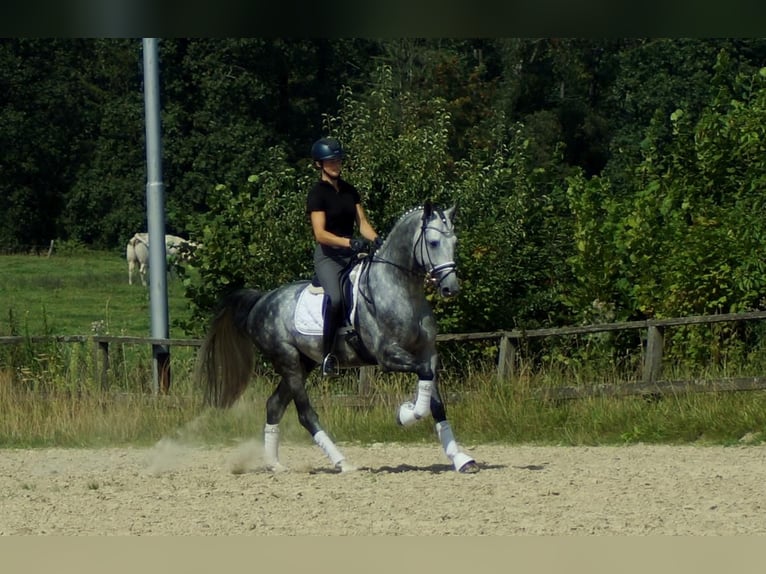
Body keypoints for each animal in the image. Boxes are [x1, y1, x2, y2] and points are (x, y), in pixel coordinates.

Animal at [196, 205, 480, 474]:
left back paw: (275, 465)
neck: (401, 289)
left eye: (454, 241)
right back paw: (342, 463)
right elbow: (423, 387)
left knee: (274, 406)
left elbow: (436, 401)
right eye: (433, 242)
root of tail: (262, 300)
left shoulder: (427, 353)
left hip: (303, 363)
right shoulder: (387, 355)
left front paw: (461, 460)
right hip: (287, 360)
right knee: (305, 414)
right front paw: (406, 414)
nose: (451, 289)